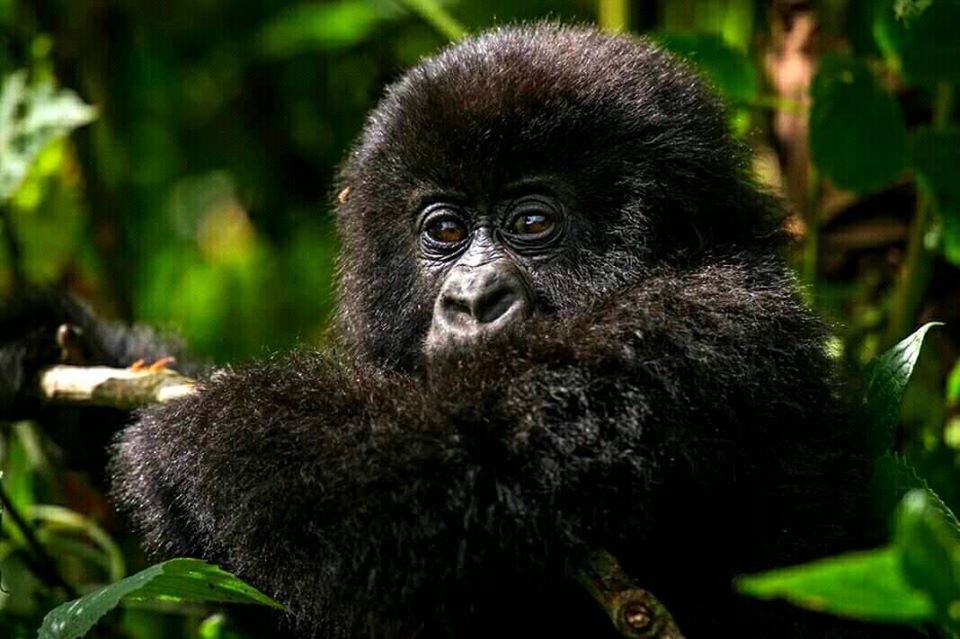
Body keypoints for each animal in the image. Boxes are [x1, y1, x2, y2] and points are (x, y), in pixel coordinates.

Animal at [0, 23, 900, 639]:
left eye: (532, 222)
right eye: (443, 230)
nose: (471, 299)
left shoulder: (704, 332)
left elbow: (466, 478)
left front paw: (187, 436)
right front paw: (48, 339)